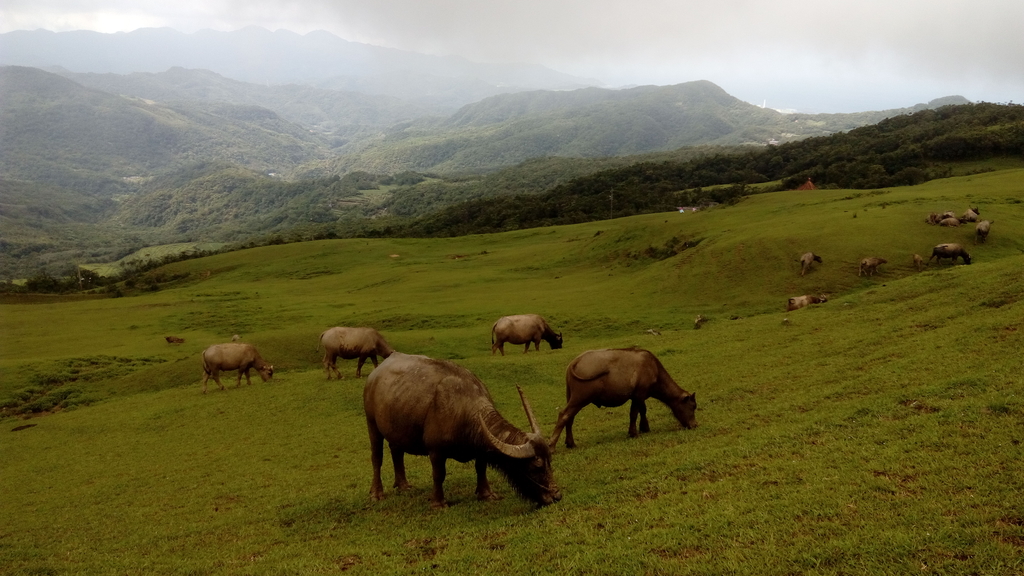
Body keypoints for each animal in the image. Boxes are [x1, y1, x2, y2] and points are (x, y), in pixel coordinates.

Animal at [366, 350, 565, 506]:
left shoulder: (481, 447)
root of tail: (375, 375)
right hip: (372, 424)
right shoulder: (436, 451)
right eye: (536, 466)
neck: (464, 411)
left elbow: (481, 468)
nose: (556, 495)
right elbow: (439, 474)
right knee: (377, 458)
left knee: (396, 451)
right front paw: (438, 502)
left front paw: (486, 494)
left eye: (549, 461)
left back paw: (403, 485)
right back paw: (376, 493)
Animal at [552, 344, 696, 448]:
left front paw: (645, 428)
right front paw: (633, 433)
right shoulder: (638, 395)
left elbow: (643, 410)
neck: (653, 369)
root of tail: (575, 361)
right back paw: (552, 445)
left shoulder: (639, 396)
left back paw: (570, 443)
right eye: (692, 407)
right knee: (564, 415)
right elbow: (634, 414)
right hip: (580, 398)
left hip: (571, 396)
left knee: (570, 418)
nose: (694, 425)